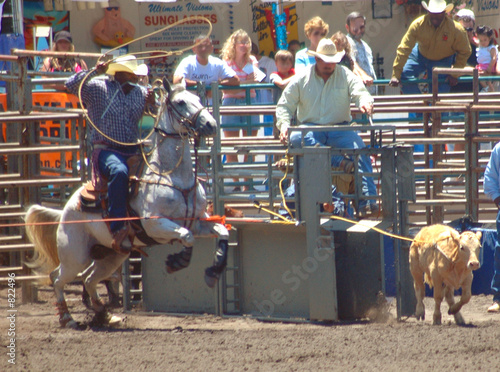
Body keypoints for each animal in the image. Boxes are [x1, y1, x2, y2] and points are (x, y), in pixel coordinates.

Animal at [26, 79, 229, 328]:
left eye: (199, 99)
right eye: (181, 102)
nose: (211, 124)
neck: (171, 176)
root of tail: (67, 208)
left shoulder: (198, 221)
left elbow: (222, 232)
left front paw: (213, 271)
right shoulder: (155, 224)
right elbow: (186, 237)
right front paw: (176, 261)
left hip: (112, 256)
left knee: (89, 278)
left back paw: (103, 314)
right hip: (75, 255)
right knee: (58, 277)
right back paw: (68, 318)